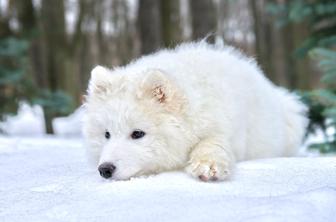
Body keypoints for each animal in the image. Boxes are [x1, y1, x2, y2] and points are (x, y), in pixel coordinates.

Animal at [82, 42, 308, 182]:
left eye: (137, 134)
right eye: (106, 134)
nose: (105, 169)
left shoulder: (223, 127)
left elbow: (211, 143)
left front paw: (208, 166)